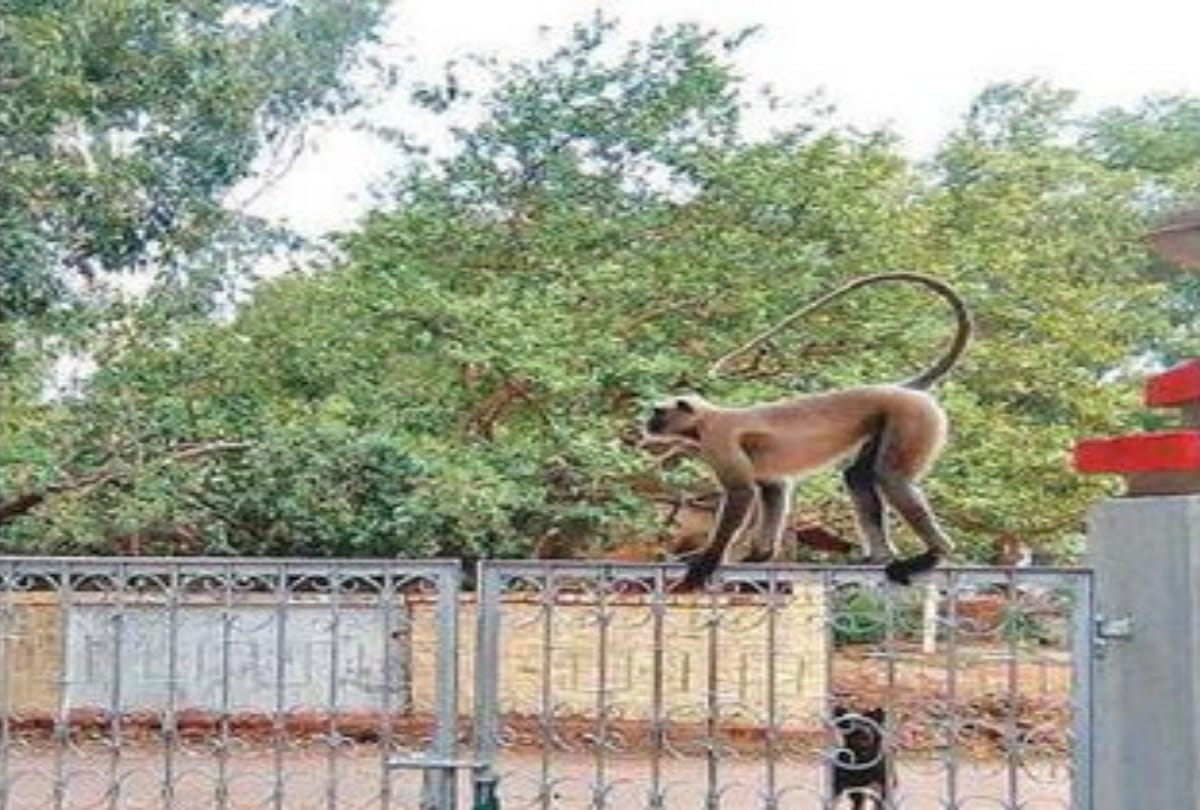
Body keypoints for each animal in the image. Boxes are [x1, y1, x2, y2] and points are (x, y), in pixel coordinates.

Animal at [642, 271, 972, 589]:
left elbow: (741, 492)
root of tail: (899, 390)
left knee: (890, 477)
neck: (707, 419)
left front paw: (706, 562)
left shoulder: (717, 438)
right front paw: (759, 557)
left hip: (912, 417)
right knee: (857, 476)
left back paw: (935, 554)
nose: (649, 422)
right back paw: (879, 557)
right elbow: (774, 487)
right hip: (888, 420)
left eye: (658, 412)